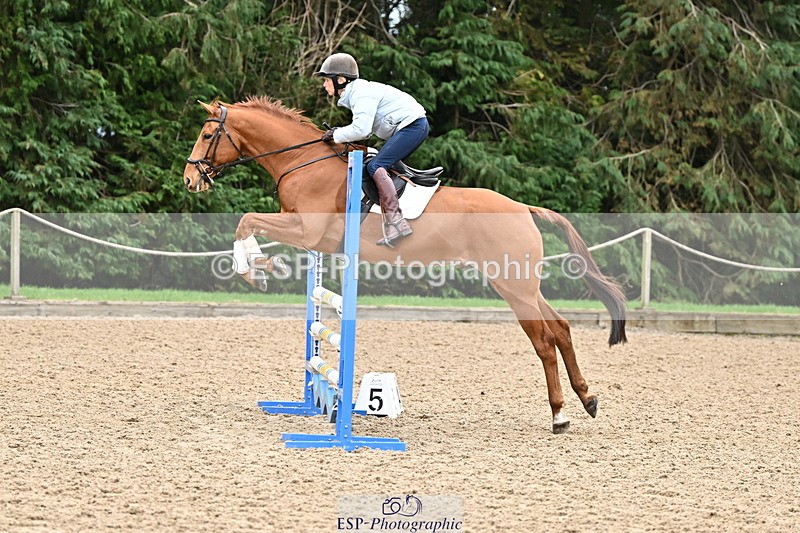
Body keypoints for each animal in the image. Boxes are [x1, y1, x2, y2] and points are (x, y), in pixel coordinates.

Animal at [183, 97, 627, 434]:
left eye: (206, 135)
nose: (190, 179)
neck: (304, 162)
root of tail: (523, 208)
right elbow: (248, 222)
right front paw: (261, 266)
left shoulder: (309, 232)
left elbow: (246, 220)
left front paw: (257, 268)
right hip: (523, 286)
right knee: (562, 329)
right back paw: (587, 399)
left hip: (512, 288)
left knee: (544, 342)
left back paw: (559, 415)